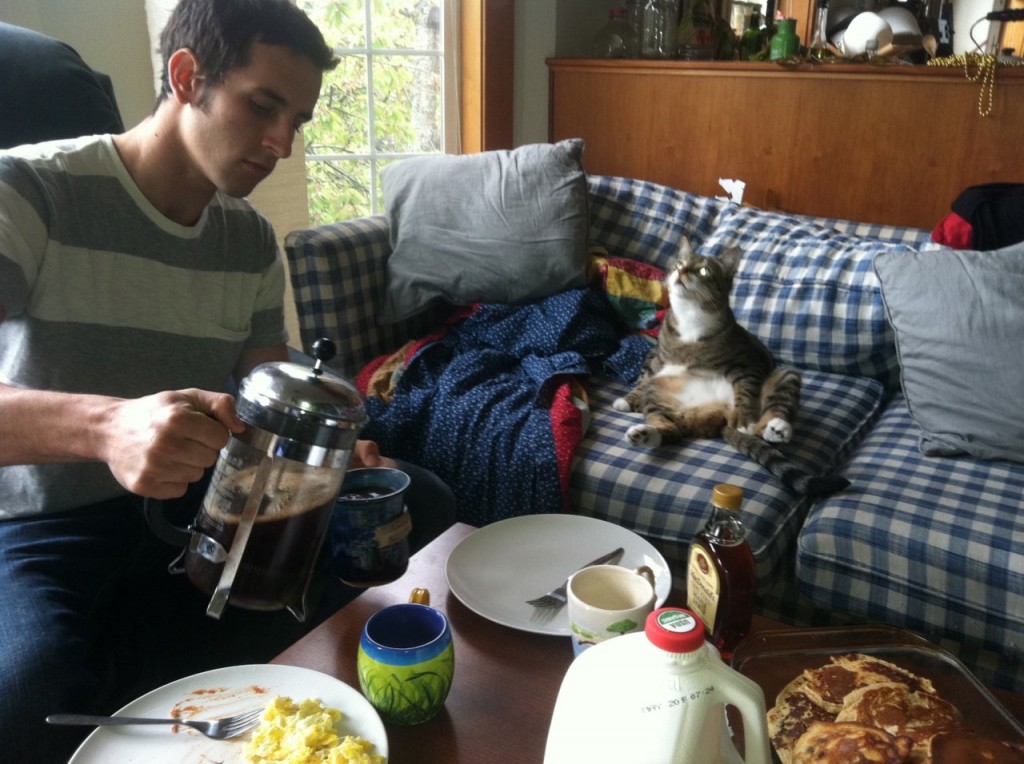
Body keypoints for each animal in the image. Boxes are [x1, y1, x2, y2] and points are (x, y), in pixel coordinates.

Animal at [614, 240, 847, 497]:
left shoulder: (749, 363)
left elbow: (744, 390)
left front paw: (744, 418)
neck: (690, 317)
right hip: (657, 395)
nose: (682, 271)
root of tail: (721, 418)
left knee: (768, 416)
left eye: (703, 271)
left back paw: (775, 426)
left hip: (784, 374)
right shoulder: (656, 360)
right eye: (679, 264)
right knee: (670, 430)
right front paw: (627, 400)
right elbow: (643, 379)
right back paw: (644, 434)